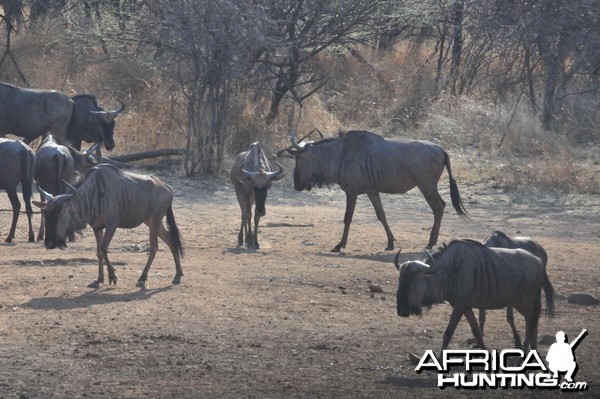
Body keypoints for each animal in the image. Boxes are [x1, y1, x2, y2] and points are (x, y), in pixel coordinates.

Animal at [34, 164, 184, 290]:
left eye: (57, 215)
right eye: (45, 215)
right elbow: (98, 252)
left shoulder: (112, 225)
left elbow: (104, 249)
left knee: (154, 247)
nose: (48, 244)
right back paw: (177, 276)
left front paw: (112, 276)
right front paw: (98, 280)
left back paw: (142, 279)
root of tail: (168, 187)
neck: (94, 195)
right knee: (171, 242)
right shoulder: (97, 227)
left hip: (154, 221)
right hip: (151, 222)